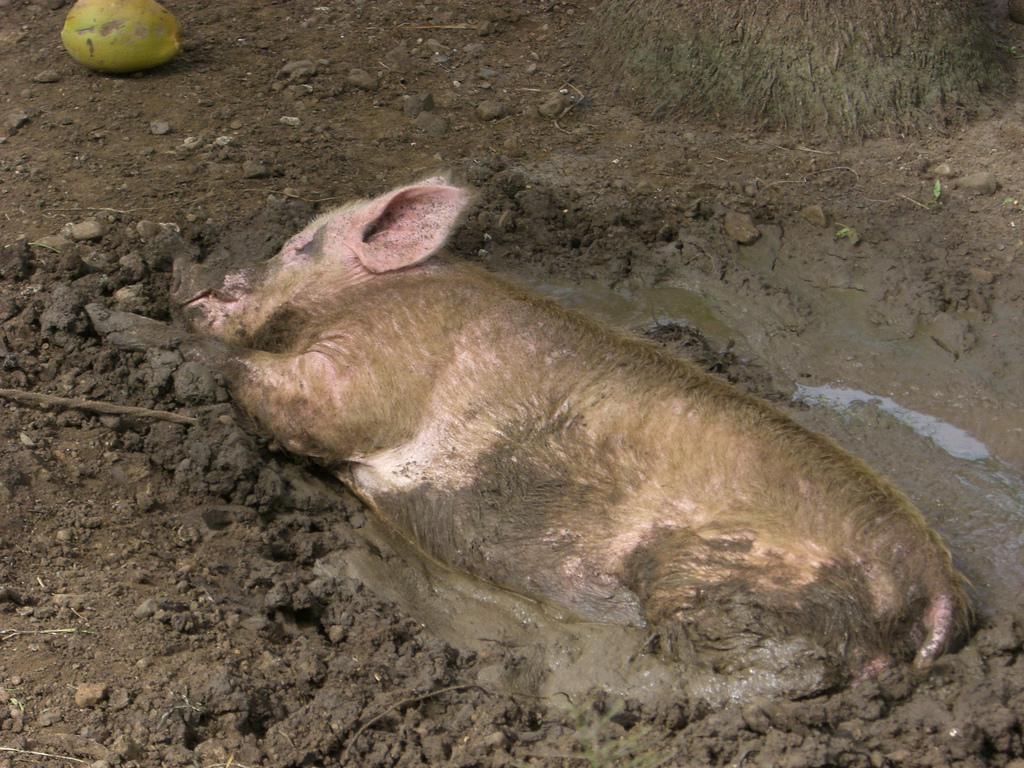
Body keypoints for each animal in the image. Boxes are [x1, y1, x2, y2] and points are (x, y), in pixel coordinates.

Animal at [172, 178, 969, 687]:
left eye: (297, 244)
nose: (192, 283)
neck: (376, 291)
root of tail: (936, 585)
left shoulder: (379, 362)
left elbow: (301, 400)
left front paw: (179, 346)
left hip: (709, 578)